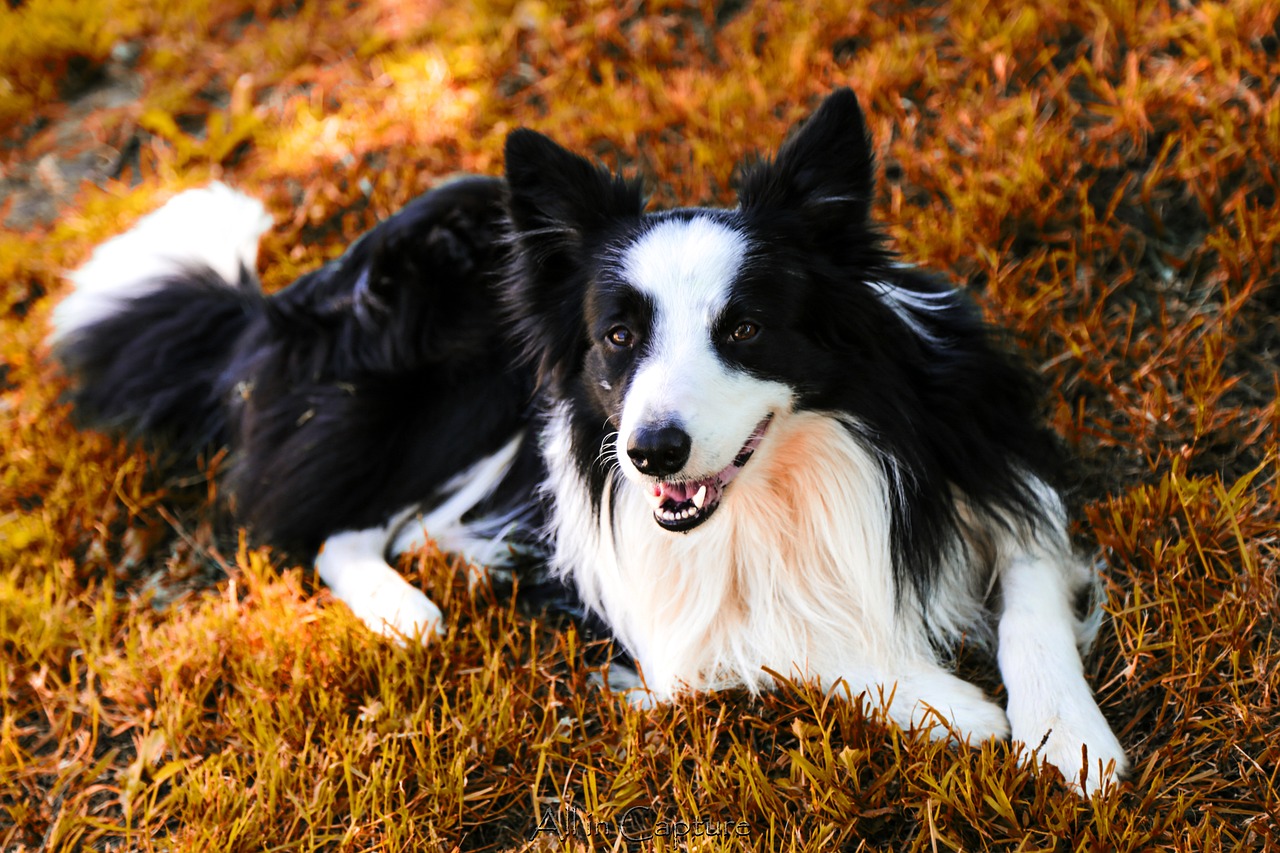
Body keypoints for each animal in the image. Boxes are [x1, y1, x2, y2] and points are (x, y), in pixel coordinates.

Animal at [55, 87, 1126, 788]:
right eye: (619, 336)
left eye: (744, 328)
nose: (652, 451)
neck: (801, 470)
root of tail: (284, 304)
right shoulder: (674, 615)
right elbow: (784, 639)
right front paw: (952, 704)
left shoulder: (996, 467)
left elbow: (1030, 600)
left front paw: (1070, 737)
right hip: (472, 395)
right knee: (340, 527)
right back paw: (411, 611)